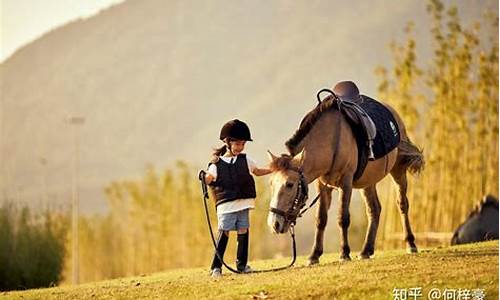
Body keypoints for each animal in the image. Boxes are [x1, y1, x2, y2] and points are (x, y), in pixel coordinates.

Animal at [268, 94, 424, 262]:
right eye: (271, 185)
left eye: (290, 184)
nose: (274, 224)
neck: (331, 141)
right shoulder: (322, 185)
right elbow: (321, 219)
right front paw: (314, 255)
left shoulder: (346, 182)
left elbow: (342, 217)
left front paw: (344, 253)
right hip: (367, 182)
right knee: (374, 209)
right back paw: (366, 250)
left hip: (398, 170)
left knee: (402, 204)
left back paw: (411, 244)